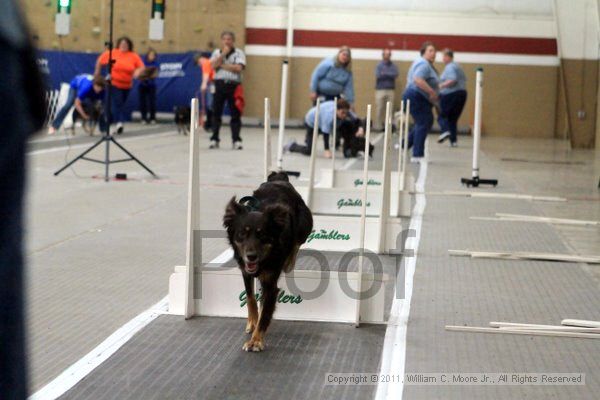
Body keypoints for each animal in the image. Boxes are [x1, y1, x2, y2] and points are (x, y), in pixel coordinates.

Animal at [223, 170, 312, 352]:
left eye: (262, 235)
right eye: (242, 234)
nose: (251, 256)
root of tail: (279, 178)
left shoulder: (271, 283)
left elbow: (265, 313)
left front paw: (256, 341)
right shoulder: (245, 271)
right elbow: (251, 298)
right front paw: (252, 322)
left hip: (305, 223)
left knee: (297, 241)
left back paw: (289, 261)